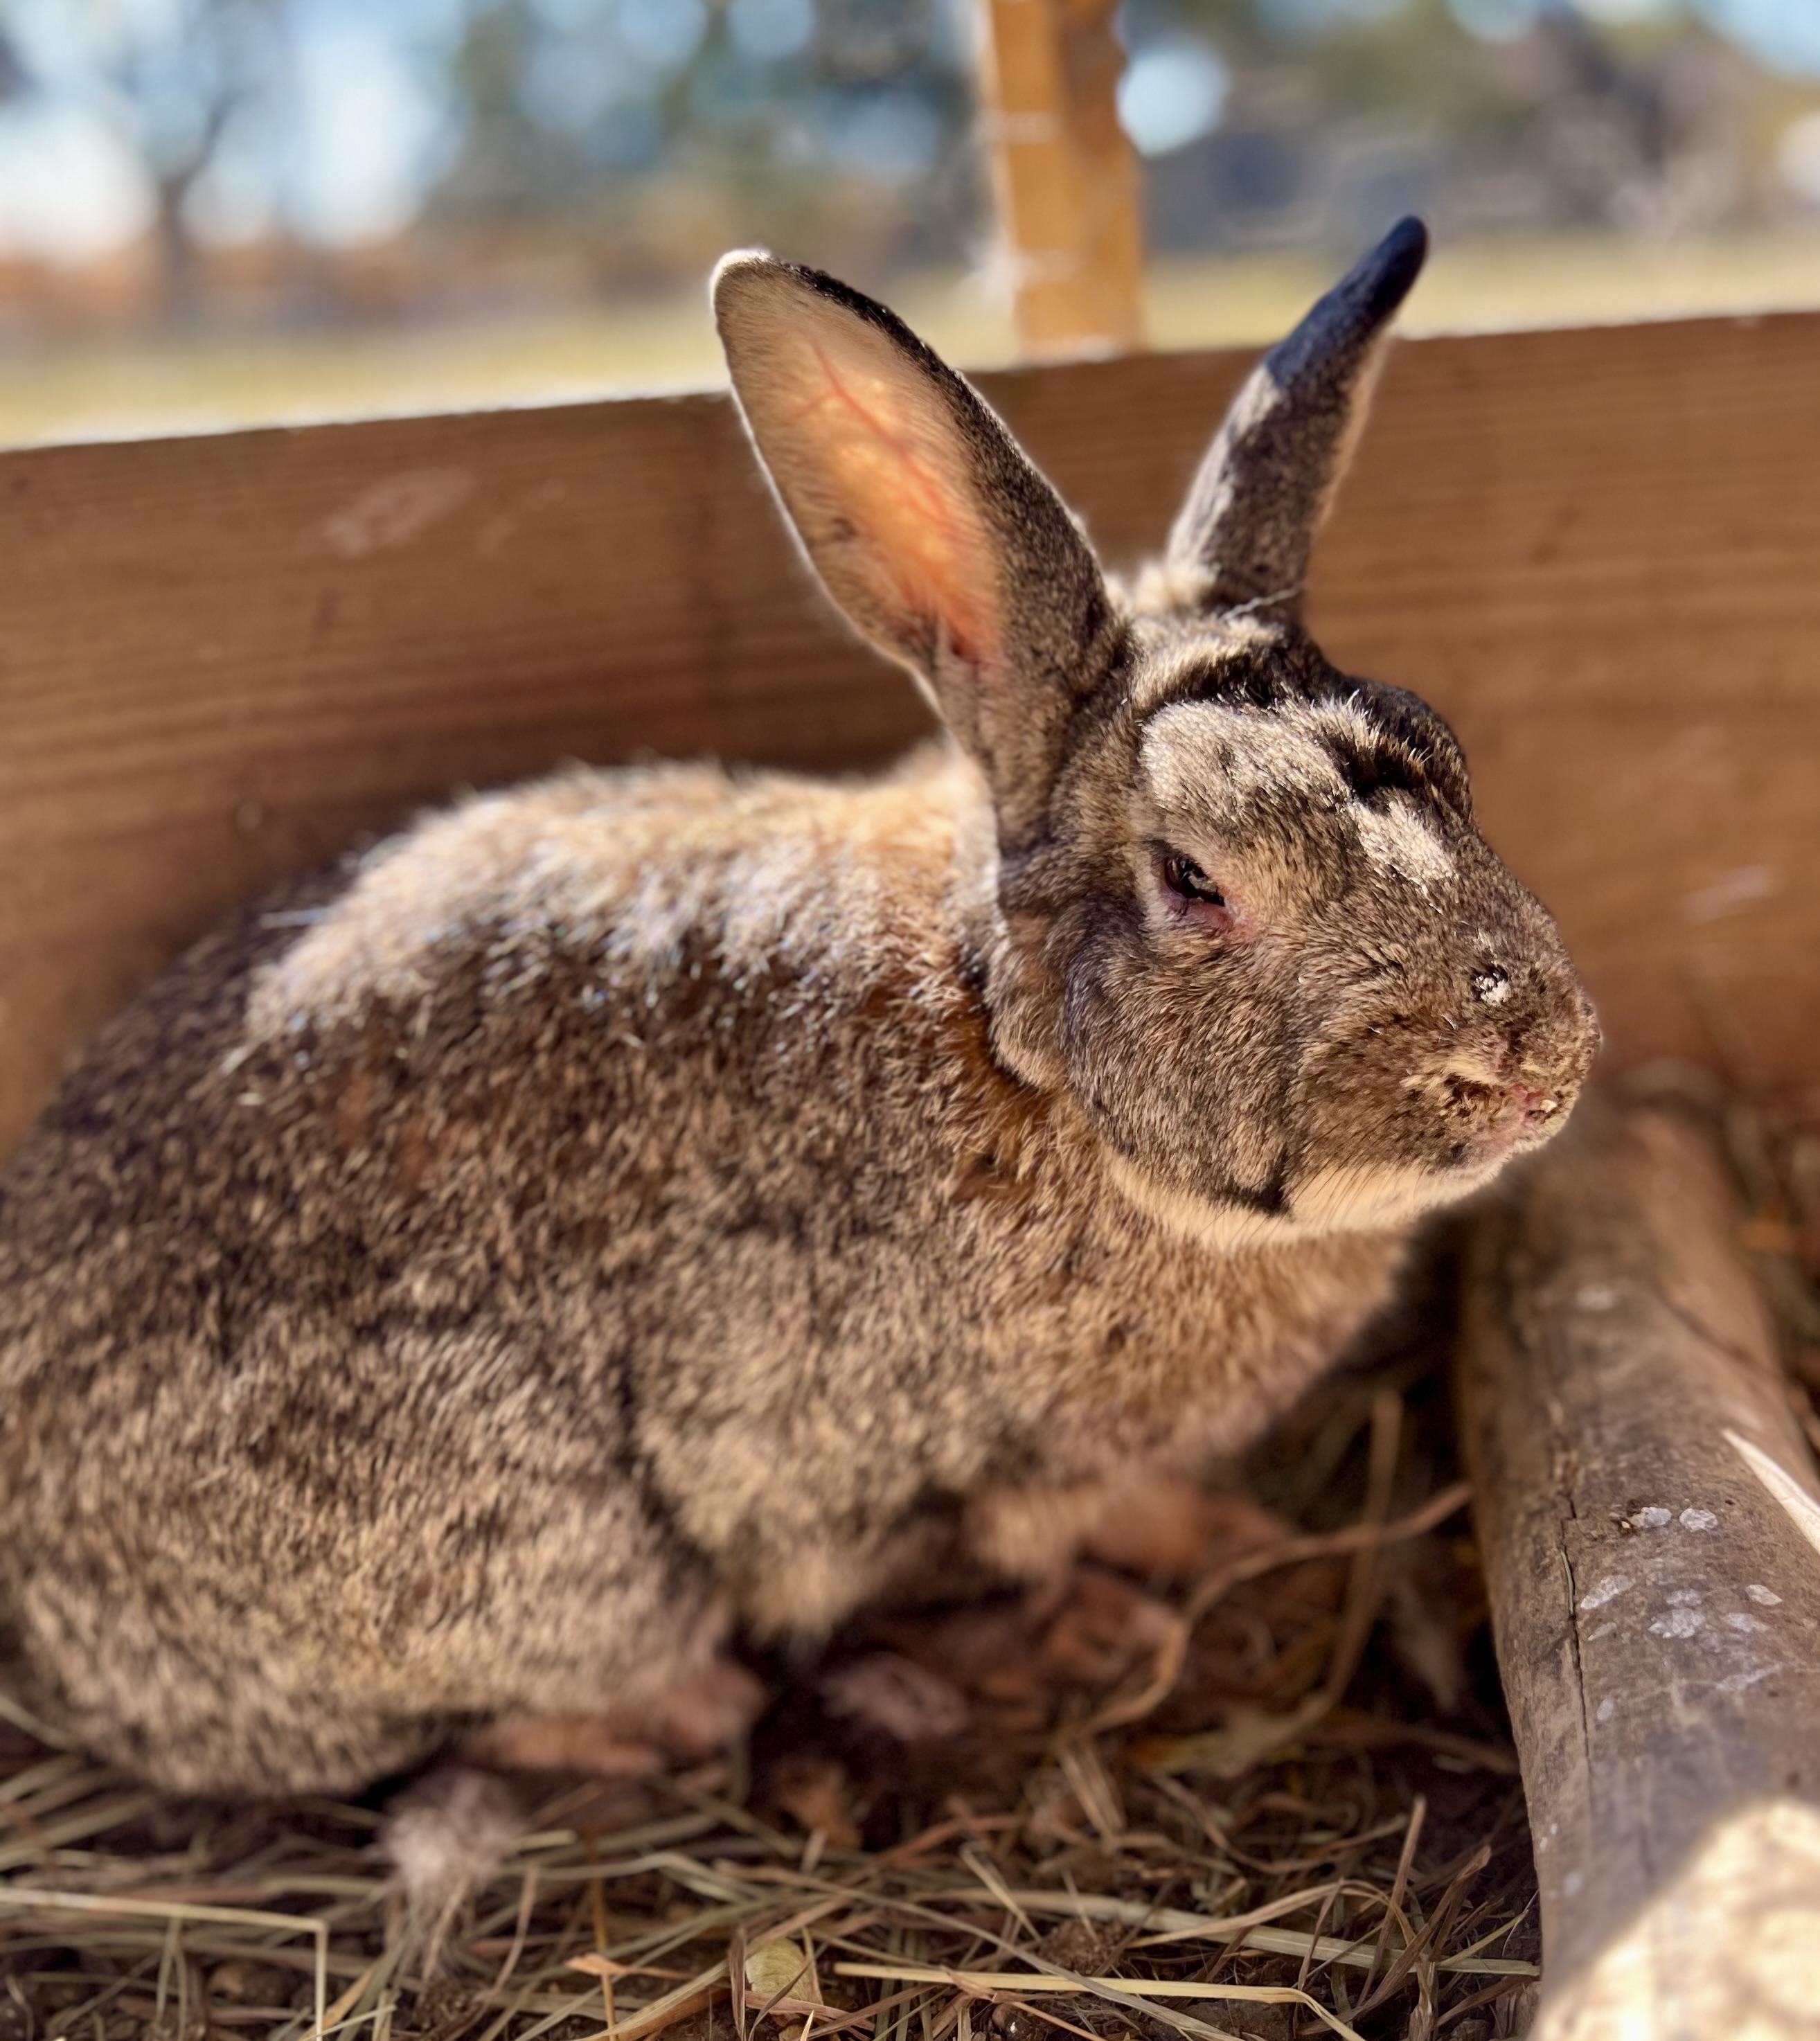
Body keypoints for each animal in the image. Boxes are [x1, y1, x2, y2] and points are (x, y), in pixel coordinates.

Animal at [0, 217, 1598, 1805]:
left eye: (1448, 757)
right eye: (1197, 879)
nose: (1533, 1058)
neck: (1016, 1050)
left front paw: (1225, 1540)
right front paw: (1101, 1621)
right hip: (546, 1540)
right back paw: (680, 1710)